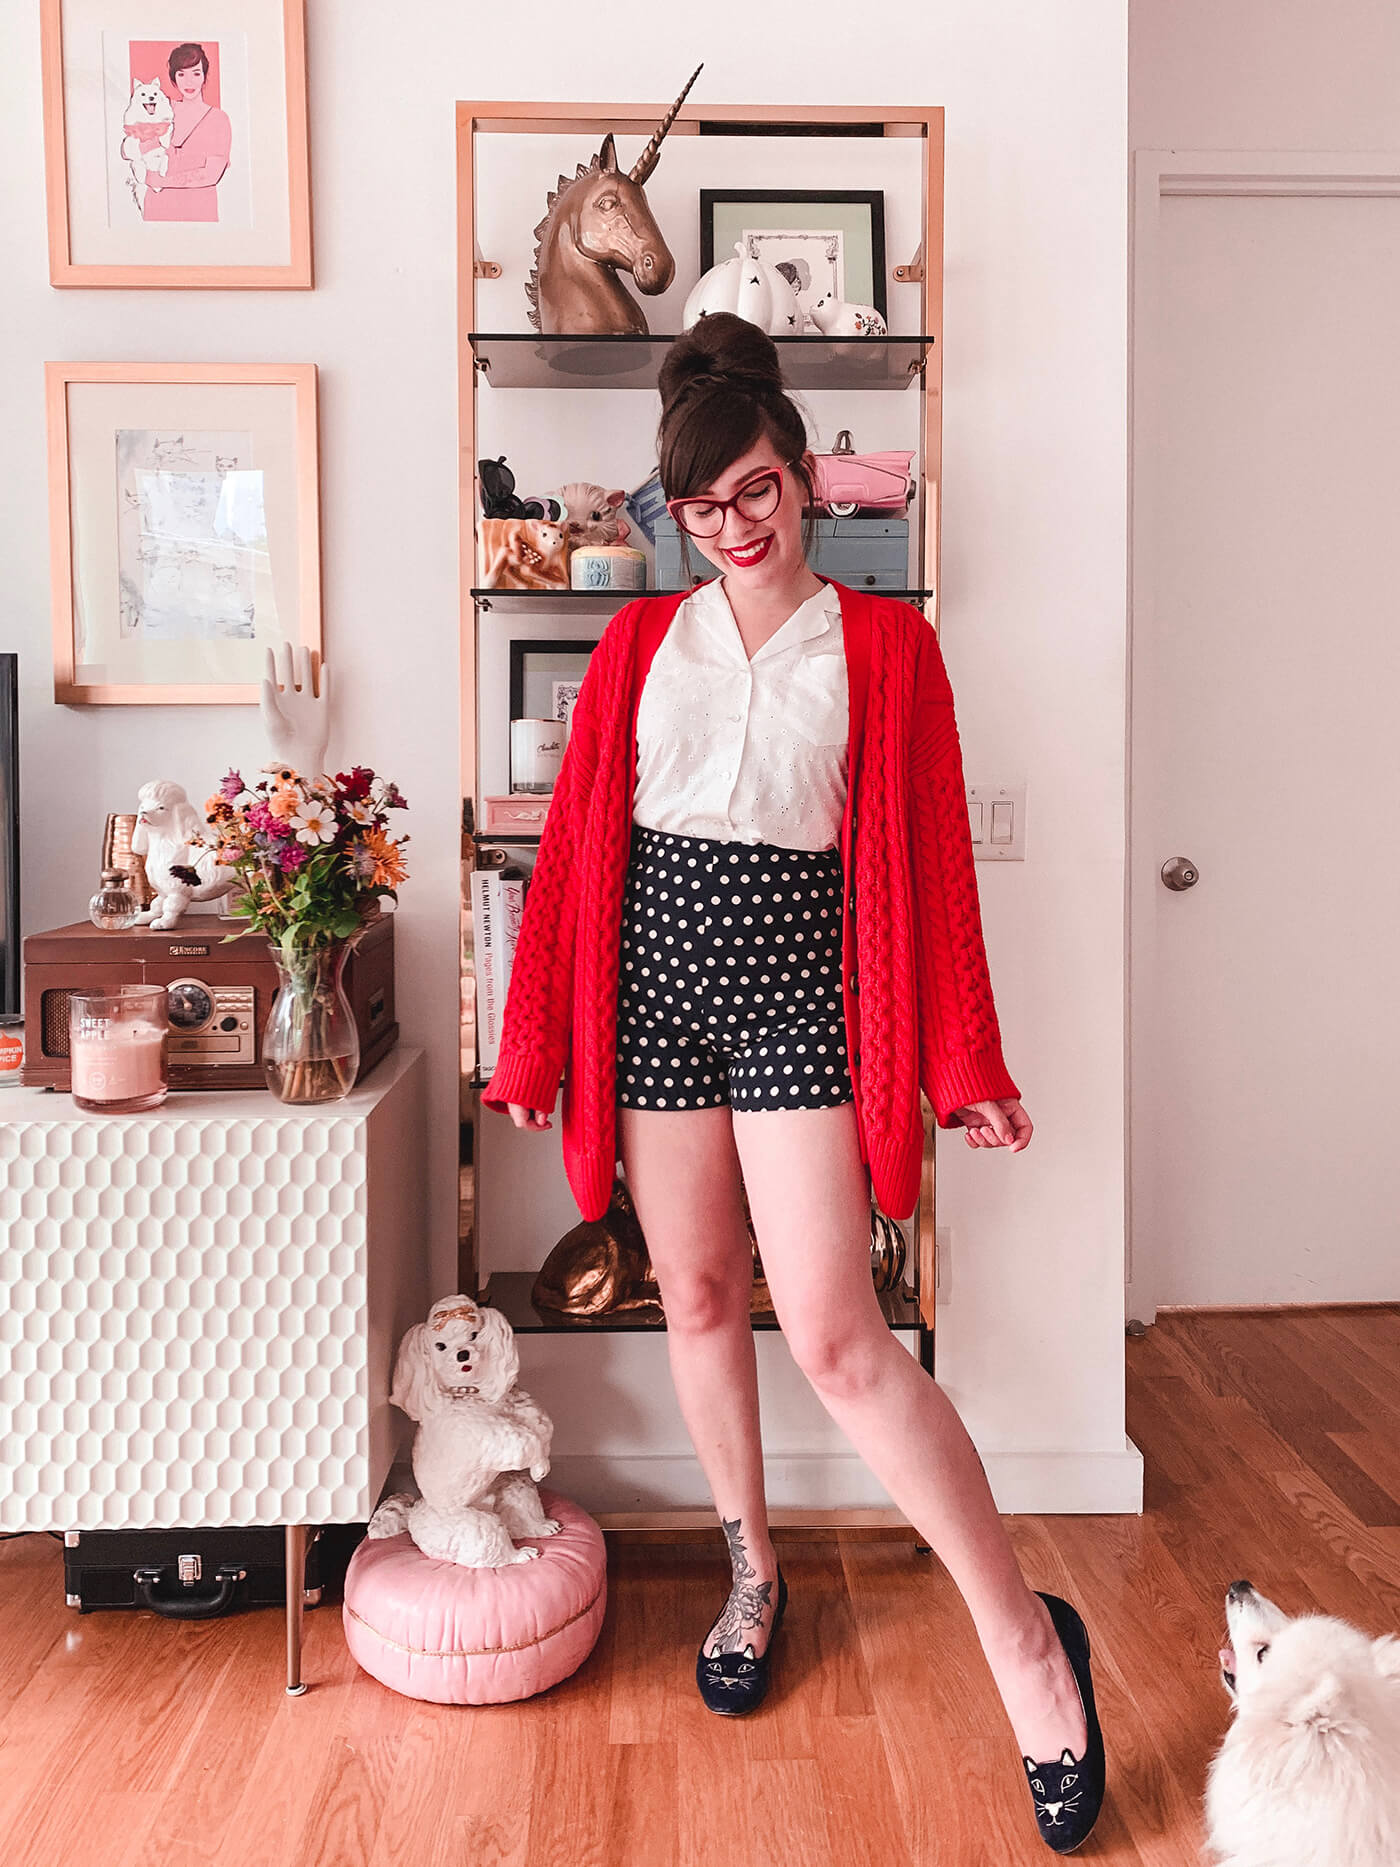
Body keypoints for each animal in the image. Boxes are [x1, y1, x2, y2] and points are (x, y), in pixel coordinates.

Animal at [120, 78, 174, 213]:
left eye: (155, 94)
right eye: (143, 94)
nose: (151, 97)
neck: (149, 121)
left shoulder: (168, 123)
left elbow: (166, 129)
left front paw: (164, 141)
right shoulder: (131, 135)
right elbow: (132, 145)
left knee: (164, 158)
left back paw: (161, 175)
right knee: (139, 166)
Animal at [130, 776, 234, 929]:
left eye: (161, 807)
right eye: (143, 806)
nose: (143, 813)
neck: (163, 842)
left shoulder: (177, 890)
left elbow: (171, 907)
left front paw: (164, 923)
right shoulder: (163, 890)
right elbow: (156, 905)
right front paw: (145, 916)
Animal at [369, 1299, 563, 1575]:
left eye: (473, 1335)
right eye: (440, 1346)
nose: (463, 1354)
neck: (470, 1394)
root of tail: (415, 1512)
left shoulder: (515, 1403)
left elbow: (540, 1422)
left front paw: (542, 1463)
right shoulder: (483, 1433)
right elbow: (522, 1440)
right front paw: (538, 1463)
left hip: (515, 1488)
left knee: (518, 1517)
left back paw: (542, 1526)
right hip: (479, 1528)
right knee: (497, 1551)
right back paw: (519, 1554)